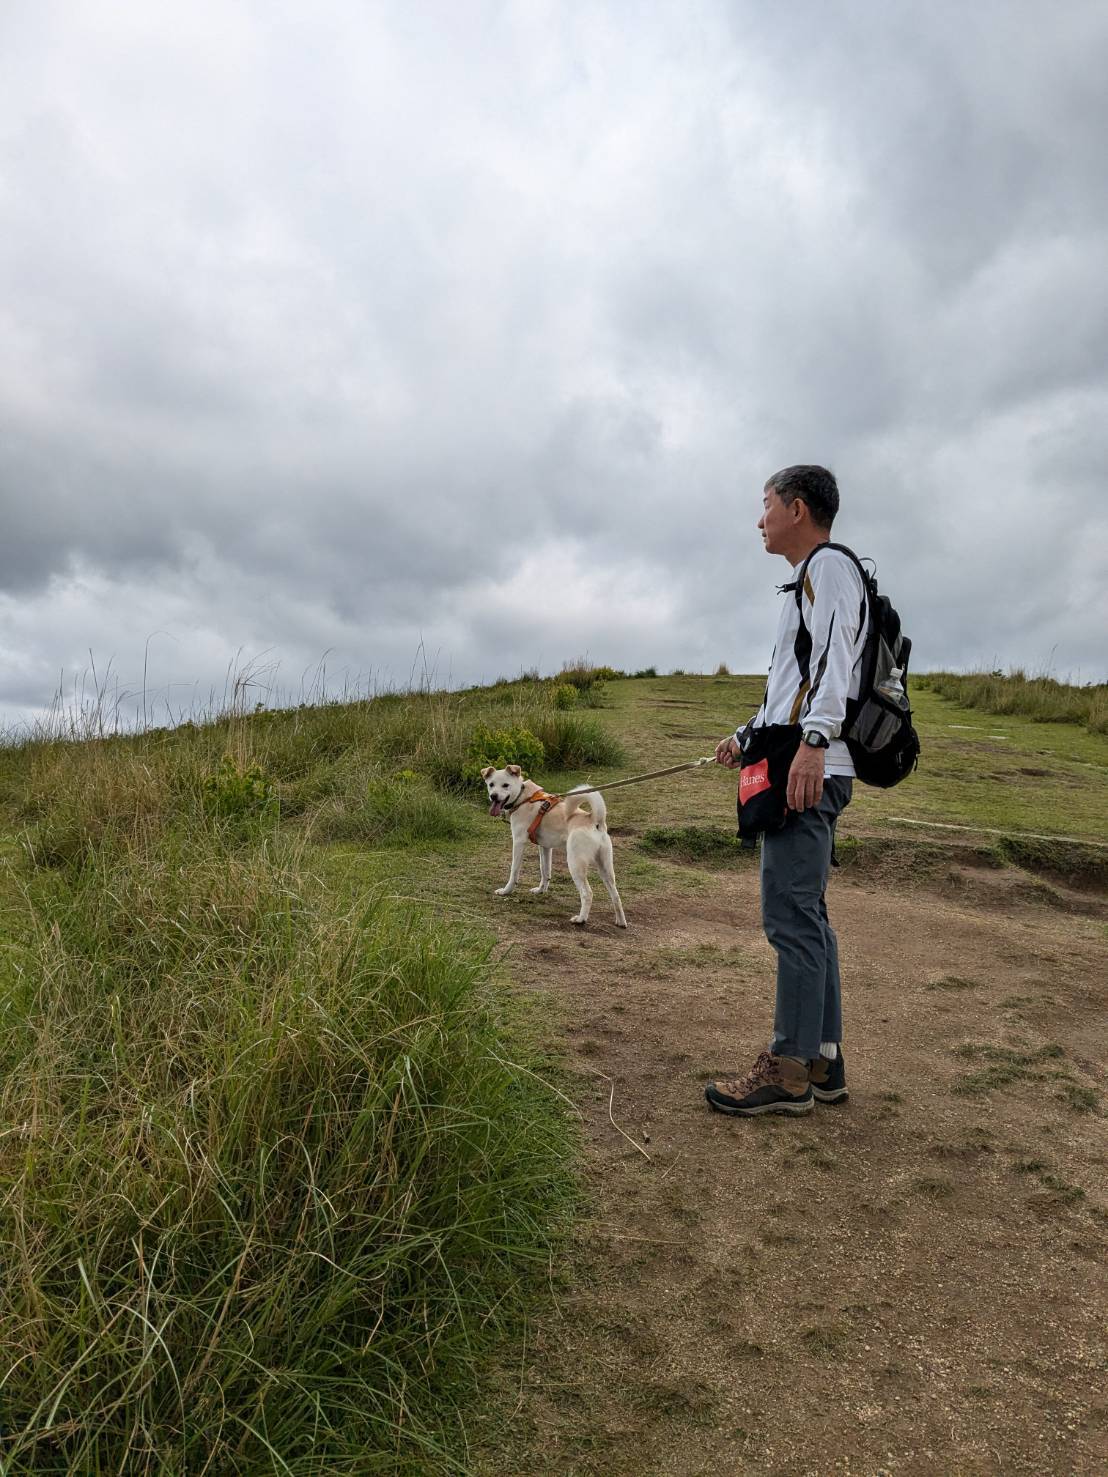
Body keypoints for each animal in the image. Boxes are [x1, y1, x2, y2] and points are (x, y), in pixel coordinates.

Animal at [481, 764, 628, 927]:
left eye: (505, 785)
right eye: (491, 784)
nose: (493, 796)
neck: (522, 797)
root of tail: (595, 820)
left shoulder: (518, 842)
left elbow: (514, 871)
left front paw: (506, 891)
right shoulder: (545, 847)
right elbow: (545, 871)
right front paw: (541, 890)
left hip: (575, 864)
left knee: (587, 893)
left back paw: (581, 919)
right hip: (605, 868)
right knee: (616, 895)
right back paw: (621, 921)